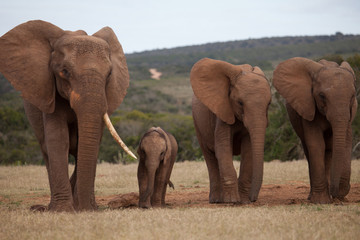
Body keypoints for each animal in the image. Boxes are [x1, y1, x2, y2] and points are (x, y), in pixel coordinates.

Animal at [0, 20, 136, 212]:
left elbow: (88, 143)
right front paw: (63, 210)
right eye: (64, 71)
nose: (88, 209)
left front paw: (82, 207)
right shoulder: (50, 92)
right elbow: (58, 139)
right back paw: (51, 207)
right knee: (46, 150)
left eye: (109, 74)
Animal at [191, 57, 270, 202]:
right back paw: (216, 200)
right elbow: (223, 146)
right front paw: (233, 201)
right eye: (240, 103)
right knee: (210, 156)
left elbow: (249, 148)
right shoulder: (222, 110)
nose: (253, 199)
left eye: (269, 104)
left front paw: (243, 201)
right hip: (197, 123)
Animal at [274, 57, 356, 203]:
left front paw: (337, 197)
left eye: (353, 96)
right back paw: (313, 197)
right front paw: (320, 201)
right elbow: (316, 145)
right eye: (322, 96)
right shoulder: (308, 106)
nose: (336, 194)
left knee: (328, 150)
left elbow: (346, 142)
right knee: (310, 150)